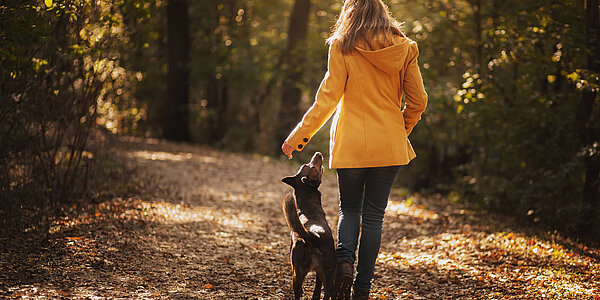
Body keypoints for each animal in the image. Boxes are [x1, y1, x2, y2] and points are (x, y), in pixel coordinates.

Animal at [282, 152, 338, 300]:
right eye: (312, 166)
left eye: (305, 164)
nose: (318, 153)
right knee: (328, 293)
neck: (308, 208)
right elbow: (318, 287)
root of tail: (314, 236)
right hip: (328, 272)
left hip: (298, 273)